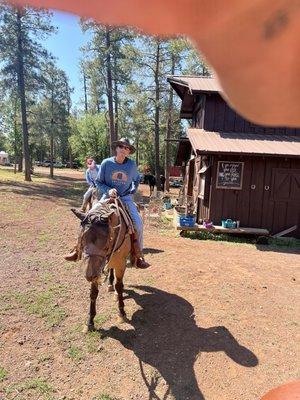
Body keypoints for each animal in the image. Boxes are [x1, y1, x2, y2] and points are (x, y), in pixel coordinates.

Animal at [69, 202, 133, 332]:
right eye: (81, 240)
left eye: (106, 242)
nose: (90, 275)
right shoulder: (96, 267)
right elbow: (93, 292)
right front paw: (90, 321)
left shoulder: (120, 263)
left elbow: (119, 286)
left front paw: (121, 313)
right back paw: (109, 284)